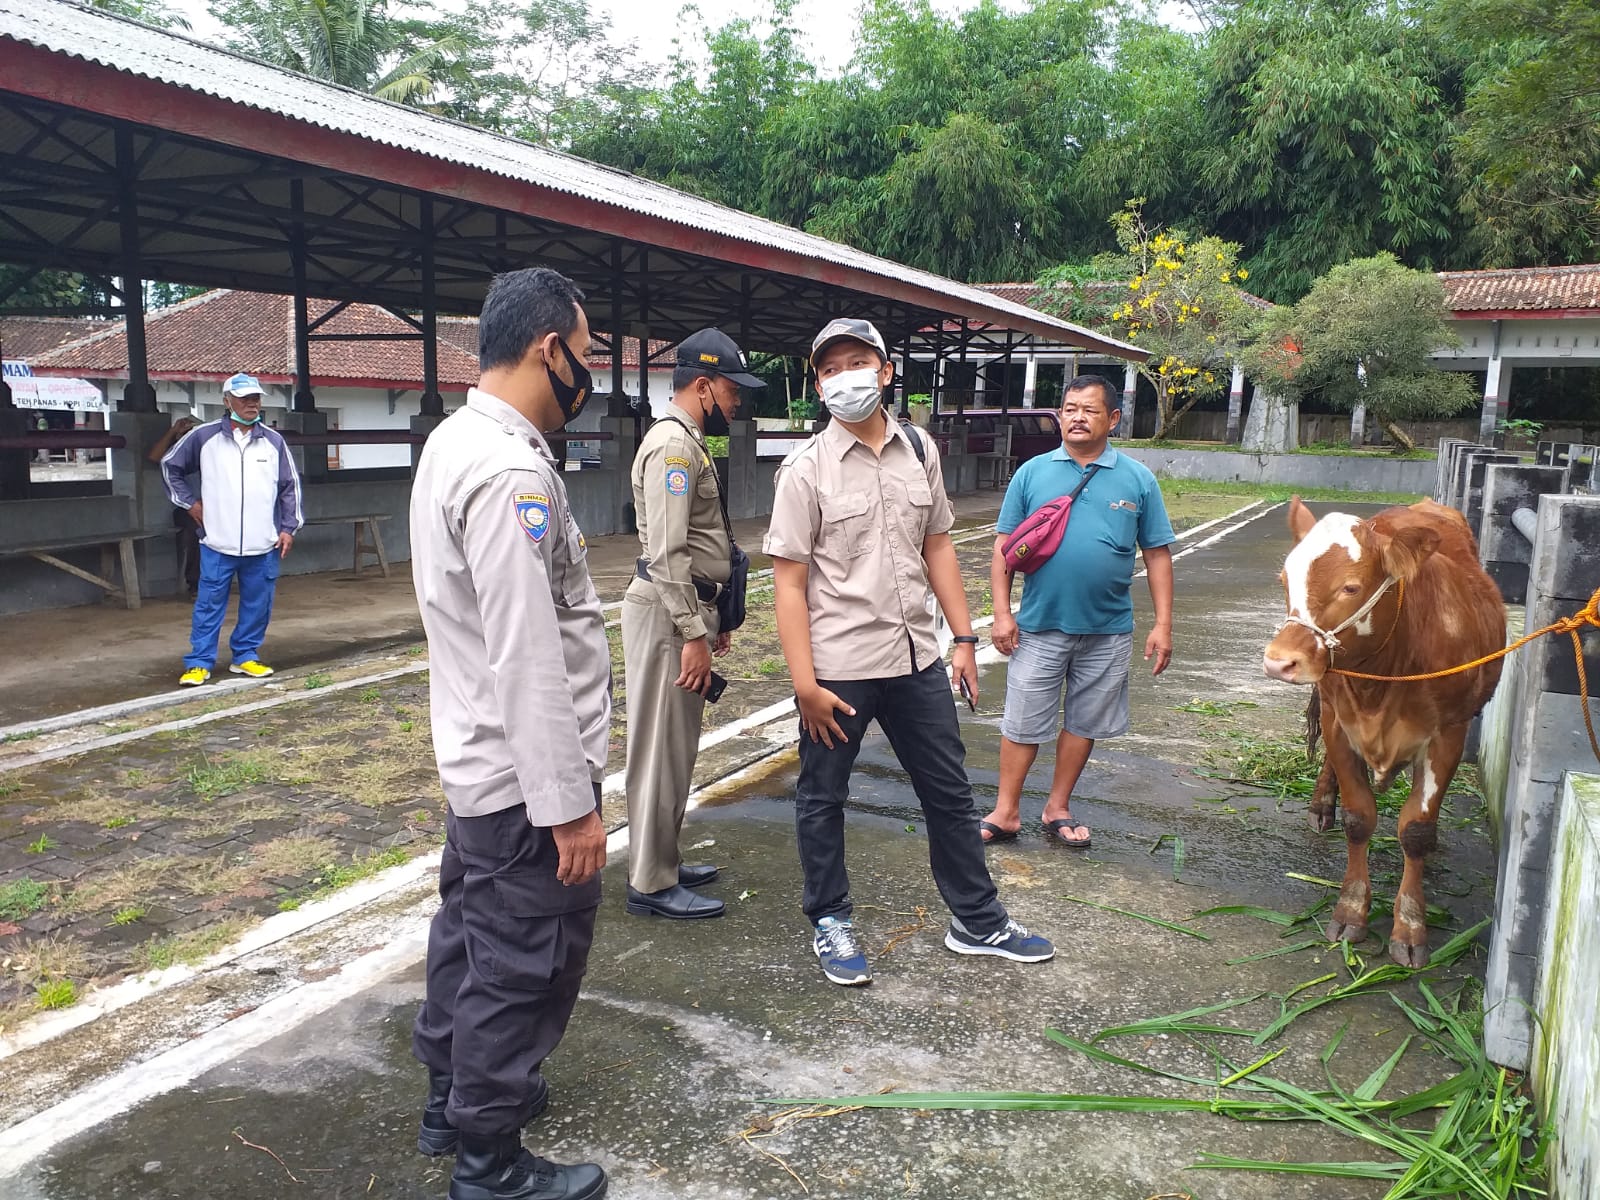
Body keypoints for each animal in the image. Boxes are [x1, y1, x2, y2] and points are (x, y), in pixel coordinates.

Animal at [1260, 499, 1497, 966]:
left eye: (1351, 588)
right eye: (1284, 580)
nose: (1279, 661)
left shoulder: (1449, 734)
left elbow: (1416, 830)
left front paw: (1411, 927)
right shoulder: (1339, 722)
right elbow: (1359, 818)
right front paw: (1351, 910)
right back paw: (1321, 804)